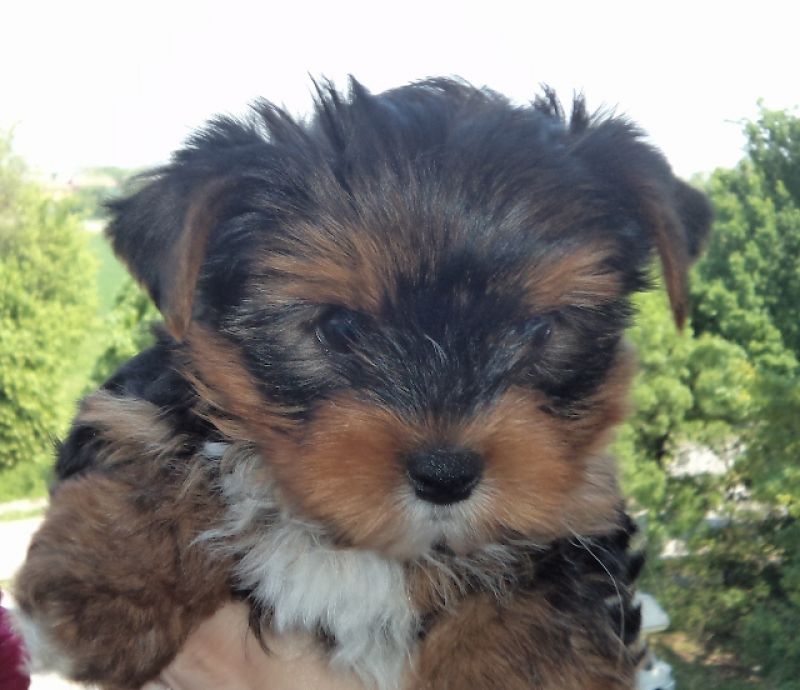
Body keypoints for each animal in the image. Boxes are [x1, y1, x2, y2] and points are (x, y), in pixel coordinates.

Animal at [14, 78, 712, 684]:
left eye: (537, 329)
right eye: (339, 327)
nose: (445, 474)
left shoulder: (583, 504)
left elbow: (550, 585)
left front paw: (512, 666)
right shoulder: (161, 390)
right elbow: (154, 443)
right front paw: (102, 588)